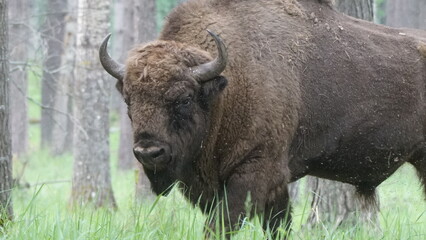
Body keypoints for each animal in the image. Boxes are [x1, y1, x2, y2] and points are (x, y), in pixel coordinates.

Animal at [100, 0, 426, 237]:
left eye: (184, 99)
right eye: (129, 100)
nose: (148, 152)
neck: (228, 87)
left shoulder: (256, 171)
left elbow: (222, 225)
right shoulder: (269, 186)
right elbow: (278, 225)